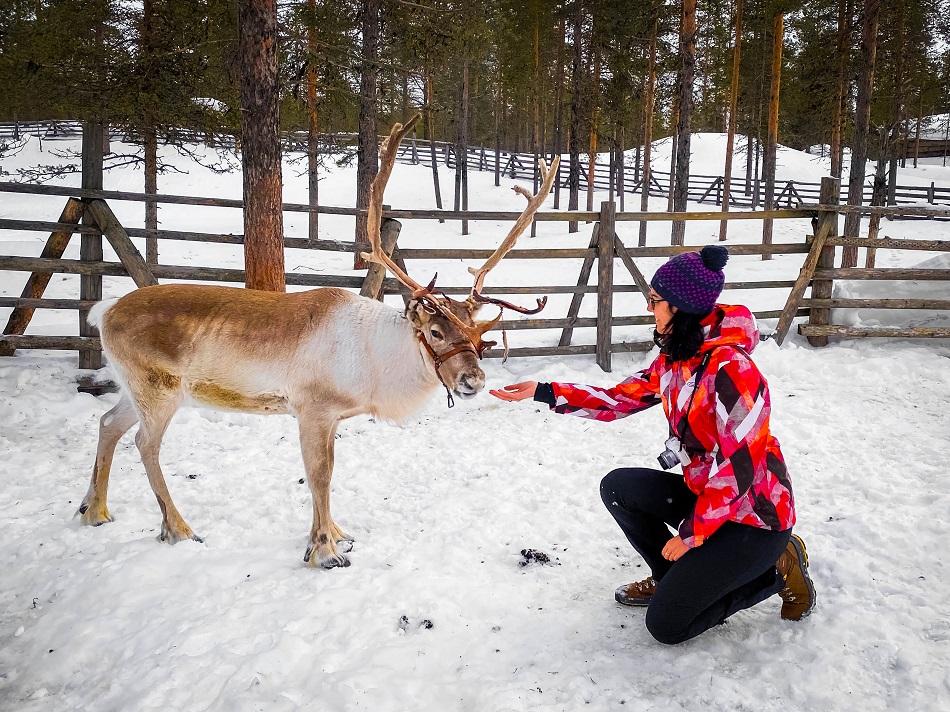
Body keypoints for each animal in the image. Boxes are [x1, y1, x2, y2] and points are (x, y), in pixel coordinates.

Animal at [78, 114, 560, 568]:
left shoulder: (333, 417)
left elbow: (328, 472)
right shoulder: (312, 408)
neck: (376, 365)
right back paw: (178, 528)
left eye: (481, 336)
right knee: (145, 443)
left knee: (107, 423)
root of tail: (104, 312)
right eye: (436, 332)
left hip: (133, 387)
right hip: (158, 389)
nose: (473, 381)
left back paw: (94, 510)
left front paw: (334, 533)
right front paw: (325, 551)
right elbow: (320, 475)